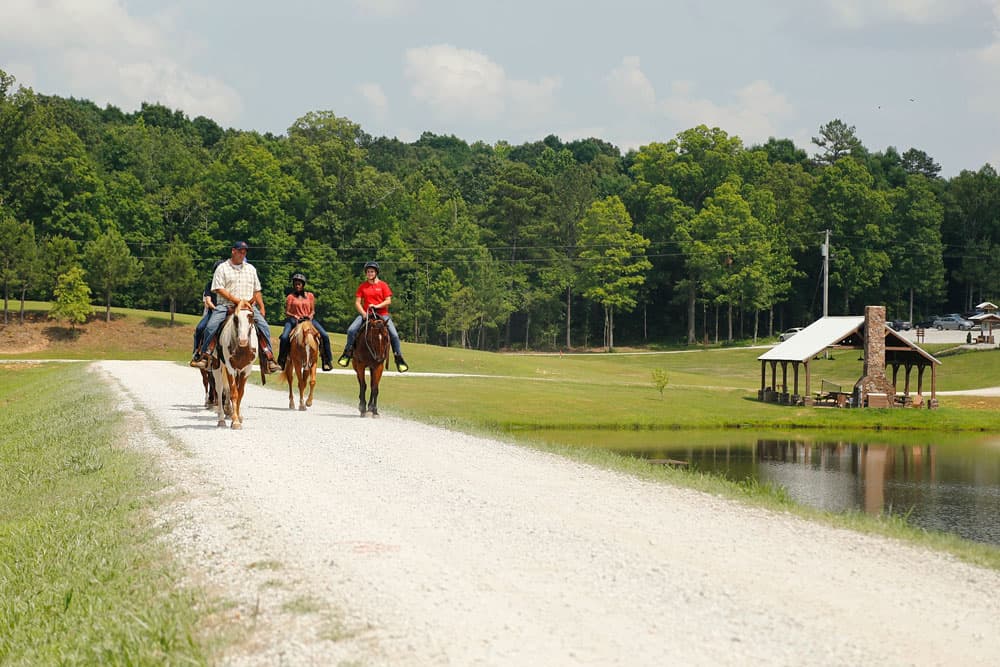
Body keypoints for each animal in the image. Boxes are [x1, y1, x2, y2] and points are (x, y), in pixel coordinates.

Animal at [212, 302, 258, 430]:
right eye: (236, 318)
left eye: (251, 316)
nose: (243, 341)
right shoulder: (230, 368)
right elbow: (234, 393)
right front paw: (235, 421)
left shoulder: (246, 369)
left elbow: (240, 393)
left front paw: (237, 418)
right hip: (217, 367)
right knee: (220, 389)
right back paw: (221, 419)